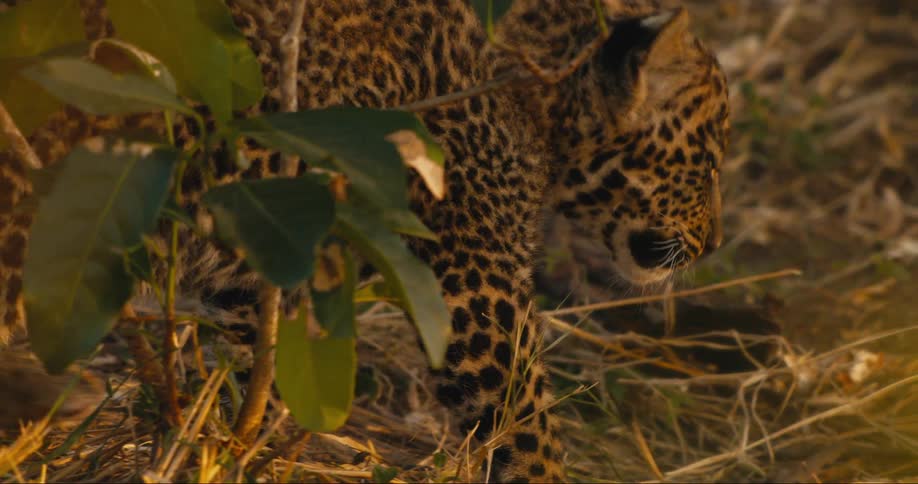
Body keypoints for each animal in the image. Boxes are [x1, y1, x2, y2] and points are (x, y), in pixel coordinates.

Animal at [0, 0, 730, 481]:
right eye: (712, 154)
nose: (717, 242)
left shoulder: (261, 267)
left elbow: (263, 376)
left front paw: (246, 449)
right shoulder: (477, 281)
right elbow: (524, 421)